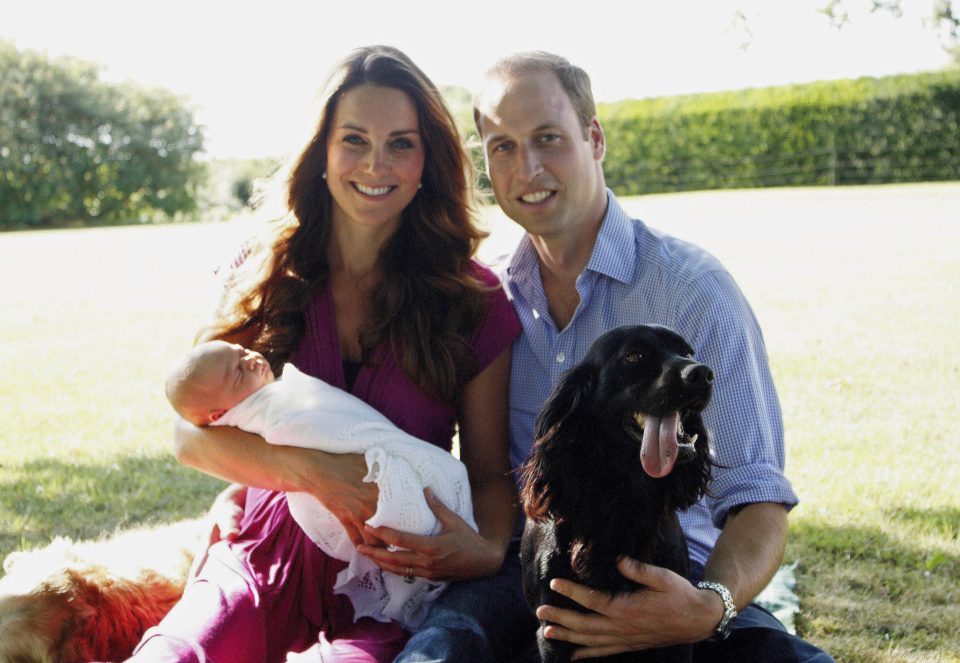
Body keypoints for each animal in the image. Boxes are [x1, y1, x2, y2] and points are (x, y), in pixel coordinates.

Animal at [516, 324, 712, 660]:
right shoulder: (553, 629)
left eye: (688, 352)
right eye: (634, 356)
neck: (623, 494)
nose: (702, 373)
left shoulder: (676, 627)